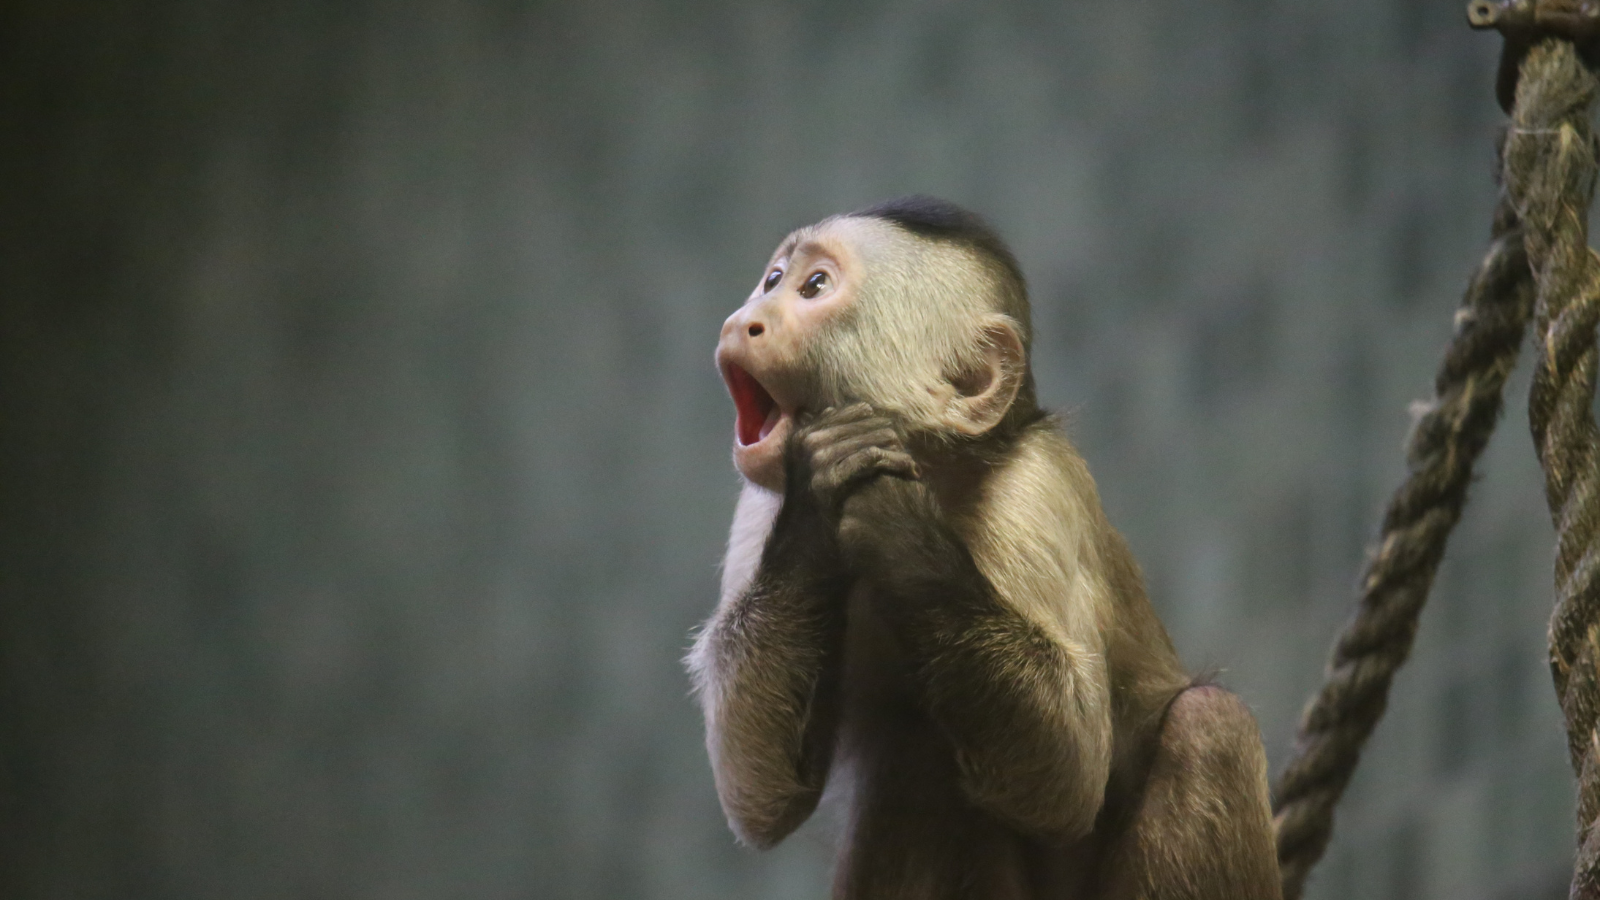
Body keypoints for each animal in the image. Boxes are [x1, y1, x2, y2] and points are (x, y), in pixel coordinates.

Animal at [686, 196, 1280, 900]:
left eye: (814, 288)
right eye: (773, 281)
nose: (744, 320)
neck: (939, 467)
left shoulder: (1037, 482)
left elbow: (1067, 774)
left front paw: (895, 523)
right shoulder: (757, 510)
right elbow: (763, 796)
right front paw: (817, 499)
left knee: (1210, 725)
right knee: (916, 756)